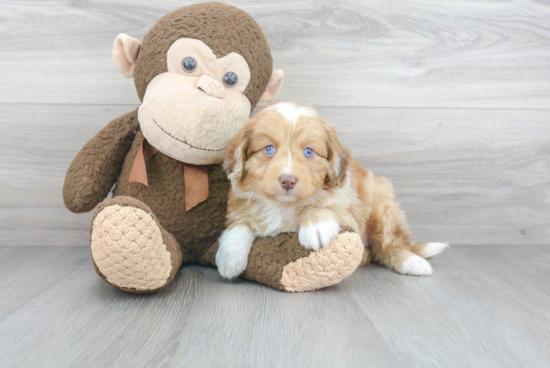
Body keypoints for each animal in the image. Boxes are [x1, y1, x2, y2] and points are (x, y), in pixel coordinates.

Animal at [216, 101, 448, 278]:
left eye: (309, 152)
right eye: (269, 149)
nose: (288, 181)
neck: (282, 206)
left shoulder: (348, 207)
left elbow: (325, 204)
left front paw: (315, 224)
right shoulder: (239, 204)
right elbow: (240, 223)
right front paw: (229, 257)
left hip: (384, 209)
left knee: (390, 244)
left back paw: (411, 262)